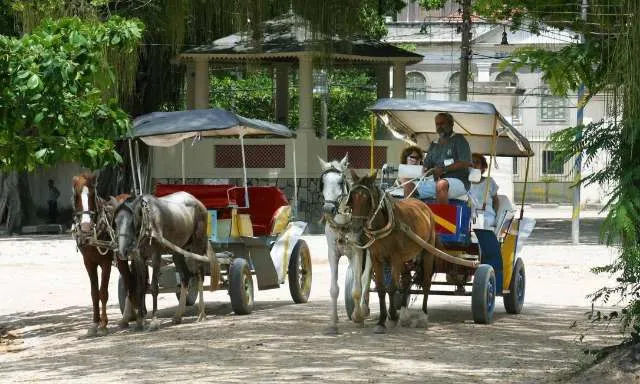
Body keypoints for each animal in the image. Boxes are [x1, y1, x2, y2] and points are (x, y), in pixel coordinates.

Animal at [71, 172, 134, 336]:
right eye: (76, 195)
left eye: (92, 194)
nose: (85, 226)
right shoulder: (88, 263)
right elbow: (94, 294)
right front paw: (94, 324)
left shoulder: (106, 263)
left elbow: (103, 293)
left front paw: (104, 325)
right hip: (121, 259)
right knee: (129, 281)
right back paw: (128, 317)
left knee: (130, 281)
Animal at [112, 192, 208, 330]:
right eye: (115, 222)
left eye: (131, 222)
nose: (122, 252)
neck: (148, 222)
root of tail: (196, 200)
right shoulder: (139, 257)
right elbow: (140, 287)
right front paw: (140, 321)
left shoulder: (156, 255)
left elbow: (153, 287)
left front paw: (154, 321)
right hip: (178, 250)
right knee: (185, 276)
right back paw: (178, 315)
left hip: (197, 246)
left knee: (200, 275)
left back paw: (201, 314)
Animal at [318, 155, 372, 332]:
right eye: (322, 182)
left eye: (341, 182)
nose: (328, 209)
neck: (343, 223)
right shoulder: (333, 253)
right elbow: (334, 289)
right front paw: (333, 322)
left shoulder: (357, 251)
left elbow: (357, 288)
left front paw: (358, 317)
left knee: (365, 278)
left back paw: (363, 309)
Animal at [348, 170, 438, 332]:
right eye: (352, 197)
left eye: (367, 198)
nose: (356, 227)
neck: (382, 226)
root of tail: (424, 206)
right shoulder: (376, 259)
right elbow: (381, 289)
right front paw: (382, 320)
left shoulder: (395, 258)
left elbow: (392, 288)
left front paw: (392, 317)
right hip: (406, 258)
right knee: (407, 281)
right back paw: (404, 314)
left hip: (427, 252)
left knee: (427, 283)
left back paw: (423, 315)